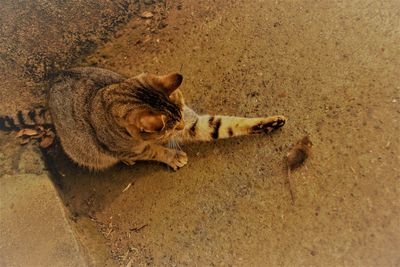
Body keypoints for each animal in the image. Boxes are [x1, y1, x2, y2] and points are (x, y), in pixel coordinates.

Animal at [0, 68, 288, 171]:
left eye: (181, 114)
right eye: (170, 127)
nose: (181, 125)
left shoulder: (194, 122)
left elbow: (224, 124)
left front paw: (268, 122)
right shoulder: (131, 146)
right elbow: (153, 150)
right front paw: (172, 156)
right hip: (91, 153)